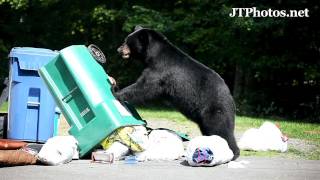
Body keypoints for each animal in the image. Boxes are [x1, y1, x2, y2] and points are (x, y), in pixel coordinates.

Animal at [116, 25, 239, 159]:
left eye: (127, 42)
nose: (118, 50)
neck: (153, 56)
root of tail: (230, 97)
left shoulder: (160, 71)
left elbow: (145, 87)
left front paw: (117, 92)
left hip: (214, 109)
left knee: (220, 129)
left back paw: (232, 153)